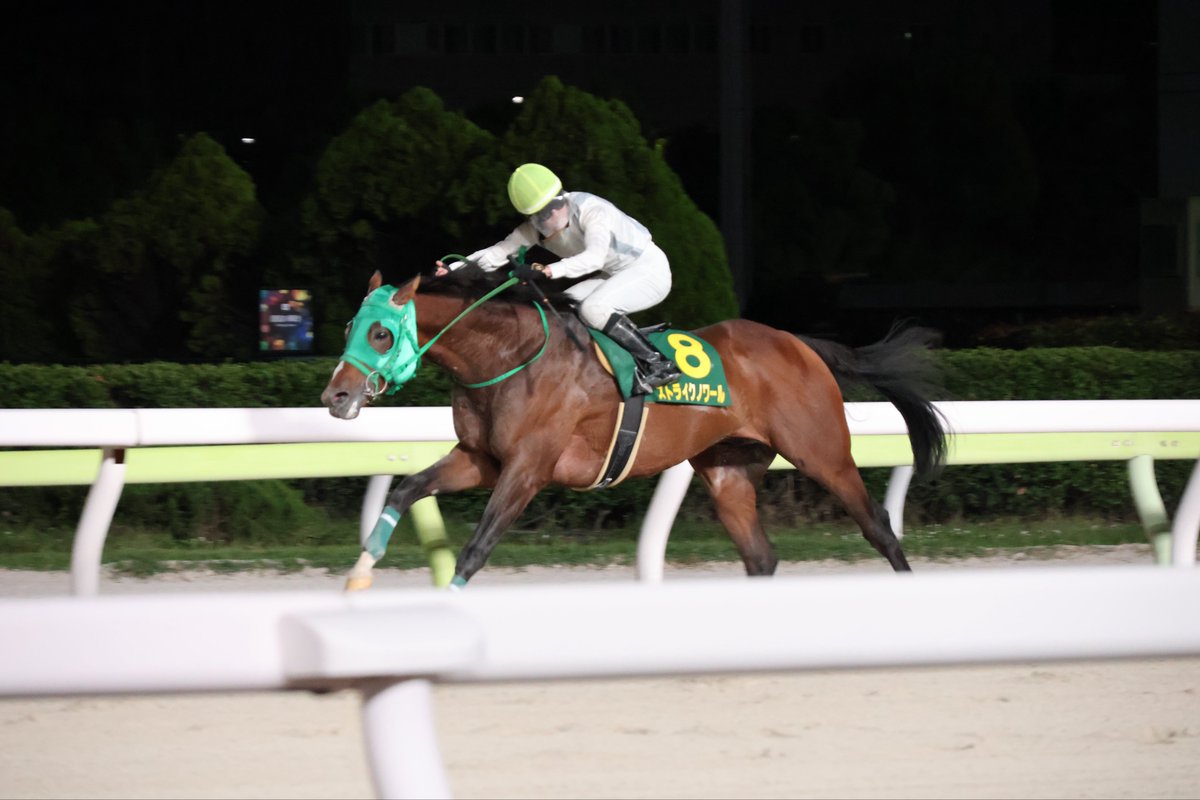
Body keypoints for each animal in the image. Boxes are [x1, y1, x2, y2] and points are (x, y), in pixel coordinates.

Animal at [321, 264, 948, 590]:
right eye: (351, 325)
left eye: (381, 333)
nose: (336, 396)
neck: (510, 355)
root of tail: (798, 342)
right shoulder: (481, 460)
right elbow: (405, 489)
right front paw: (357, 577)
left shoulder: (527, 469)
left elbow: (476, 548)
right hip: (729, 471)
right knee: (761, 557)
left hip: (823, 453)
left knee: (878, 527)